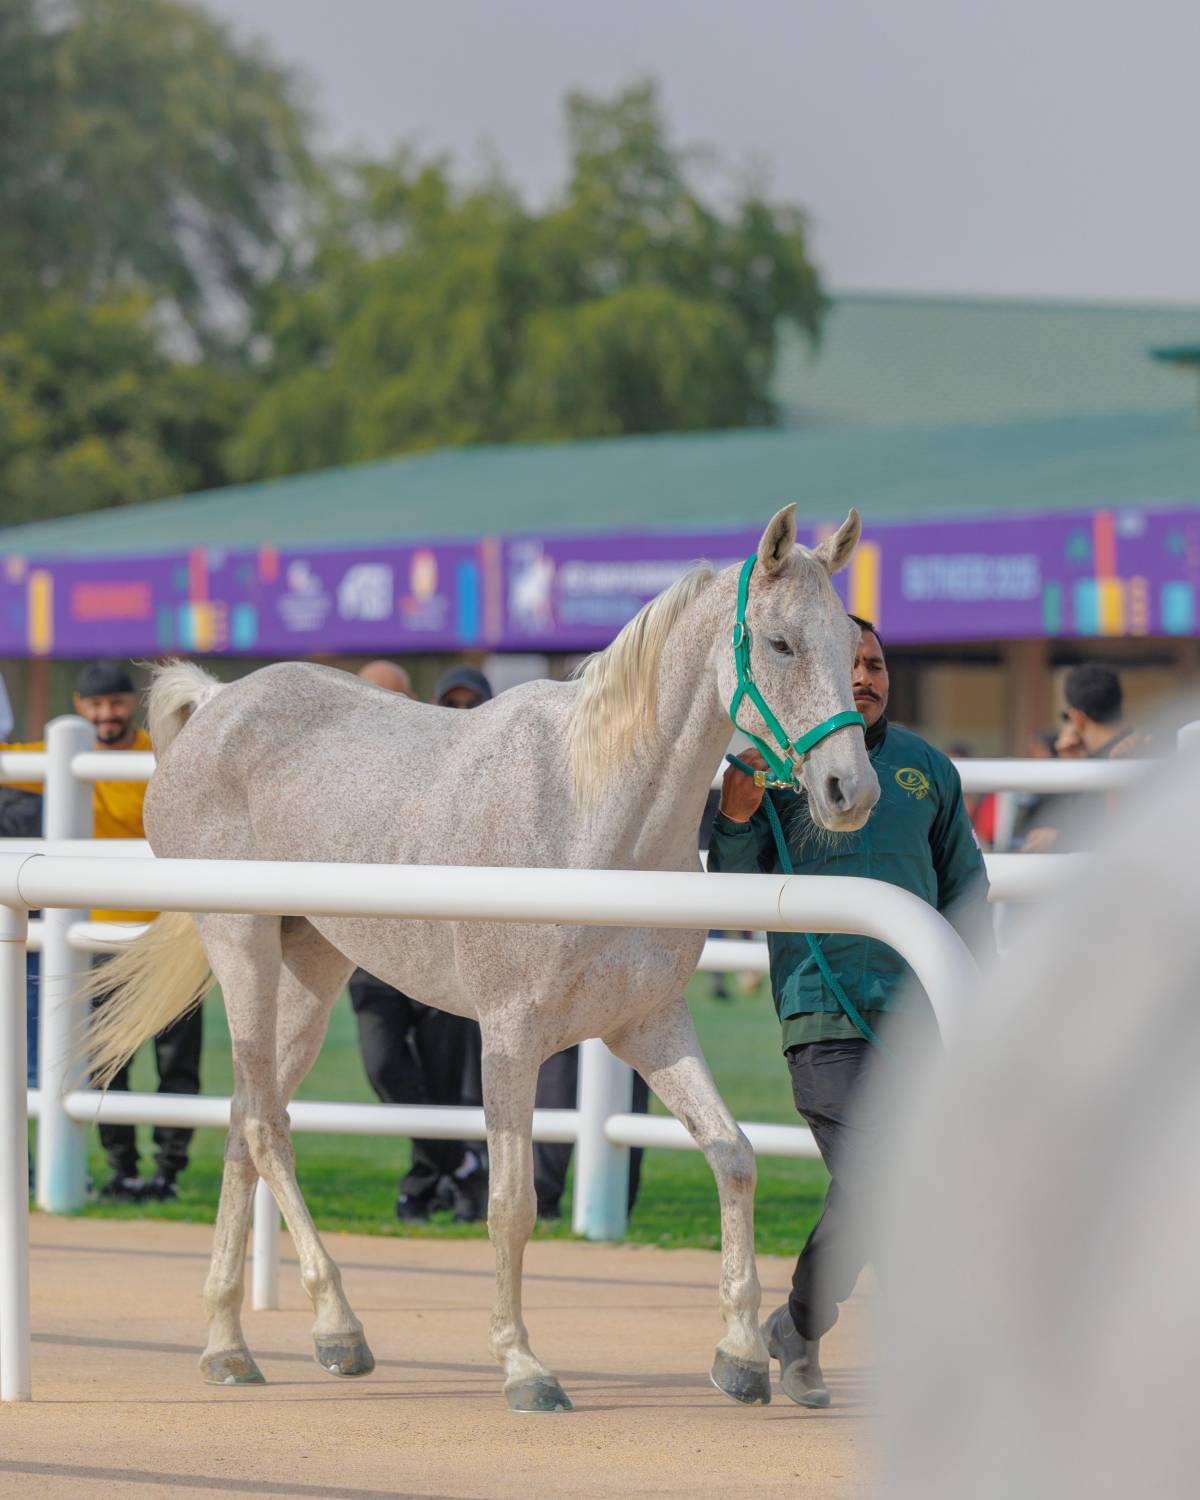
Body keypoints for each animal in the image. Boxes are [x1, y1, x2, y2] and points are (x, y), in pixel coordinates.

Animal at [84, 510, 870, 1410]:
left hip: (311, 967)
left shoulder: (649, 1025)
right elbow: (509, 1203)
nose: (851, 790)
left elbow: (733, 1157)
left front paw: (739, 1353)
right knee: (261, 1124)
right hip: (241, 946)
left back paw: (243, 1341)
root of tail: (216, 705)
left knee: (251, 1121)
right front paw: (523, 1364)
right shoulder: (510, 1038)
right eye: (779, 643)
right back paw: (319, 1328)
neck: (591, 814)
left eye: (851, 642)